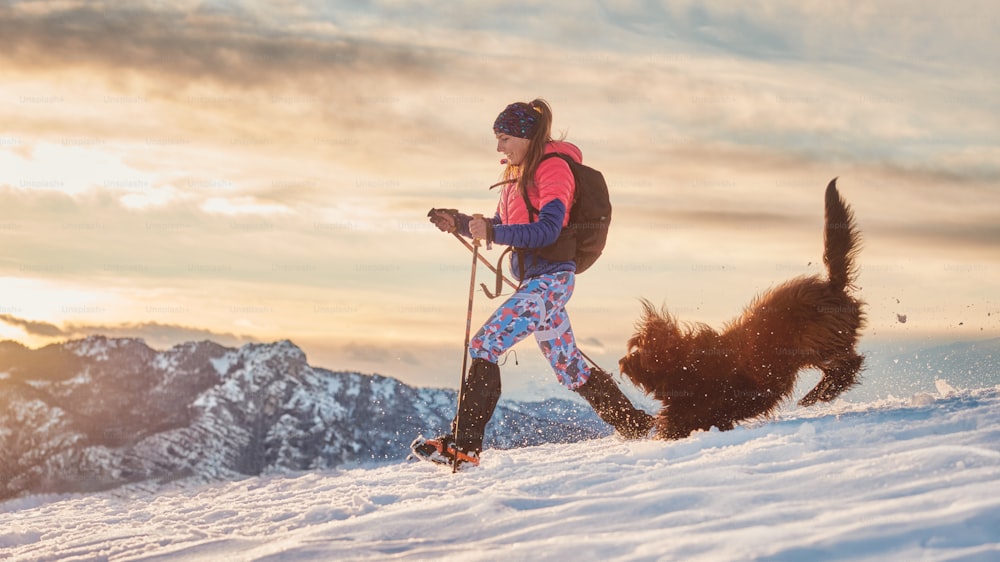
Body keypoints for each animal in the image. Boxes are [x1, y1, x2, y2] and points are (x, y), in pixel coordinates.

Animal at [620, 178, 864, 438]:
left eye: (639, 350)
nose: (622, 361)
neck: (684, 361)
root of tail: (831, 286)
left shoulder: (700, 405)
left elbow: (679, 421)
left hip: (815, 339)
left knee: (849, 364)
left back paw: (820, 393)